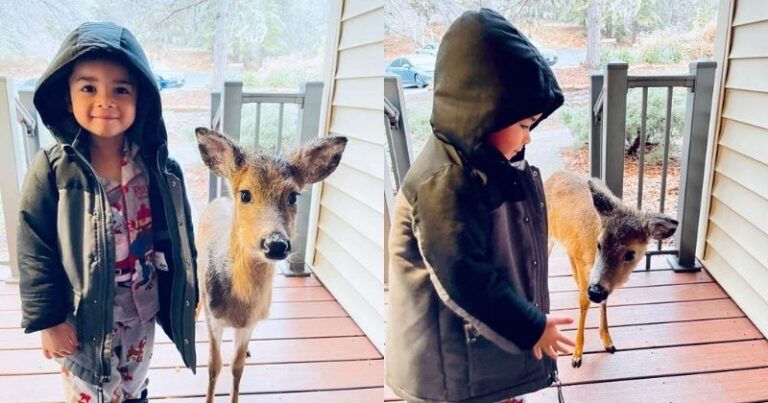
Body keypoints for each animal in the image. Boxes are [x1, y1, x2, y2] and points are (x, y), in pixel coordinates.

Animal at [194, 129, 346, 403]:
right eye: (245, 194)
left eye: (293, 196)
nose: (275, 244)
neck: (240, 307)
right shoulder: (215, 318)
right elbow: (213, 367)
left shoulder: (251, 324)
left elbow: (237, 367)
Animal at [544, 170, 676, 370]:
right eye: (599, 244)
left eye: (630, 254)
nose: (595, 292)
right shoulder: (583, 262)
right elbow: (584, 303)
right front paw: (576, 355)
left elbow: (604, 303)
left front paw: (608, 342)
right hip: (548, 235)